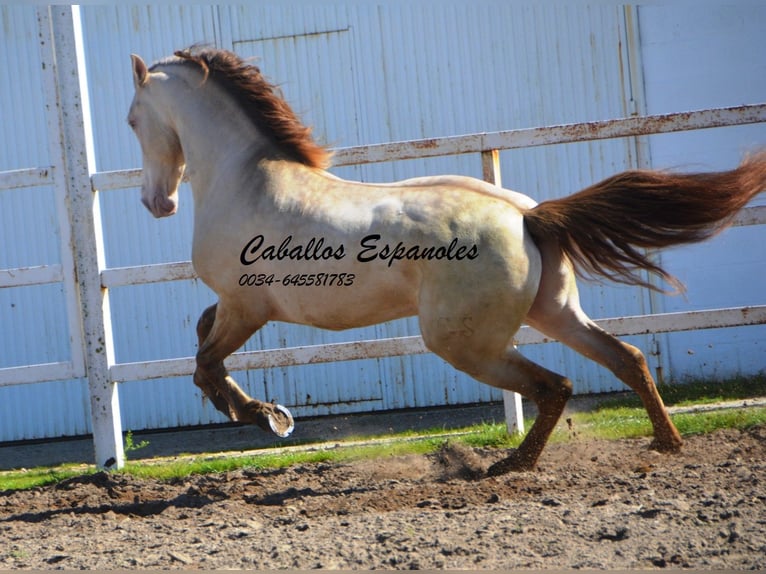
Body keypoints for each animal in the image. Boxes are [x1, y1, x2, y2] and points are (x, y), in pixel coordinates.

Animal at [127, 46, 766, 476]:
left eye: (132, 120)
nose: (156, 204)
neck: (245, 180)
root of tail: (527, 217)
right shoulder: (235, 304)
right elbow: (201, 342)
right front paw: (256, 412)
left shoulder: (247, 306)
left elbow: (206, 360)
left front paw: (264, 416)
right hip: (553, 312)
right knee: (625, 358)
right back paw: (665, 443)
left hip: (464, 342)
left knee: (554, 385)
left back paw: (511, 465)